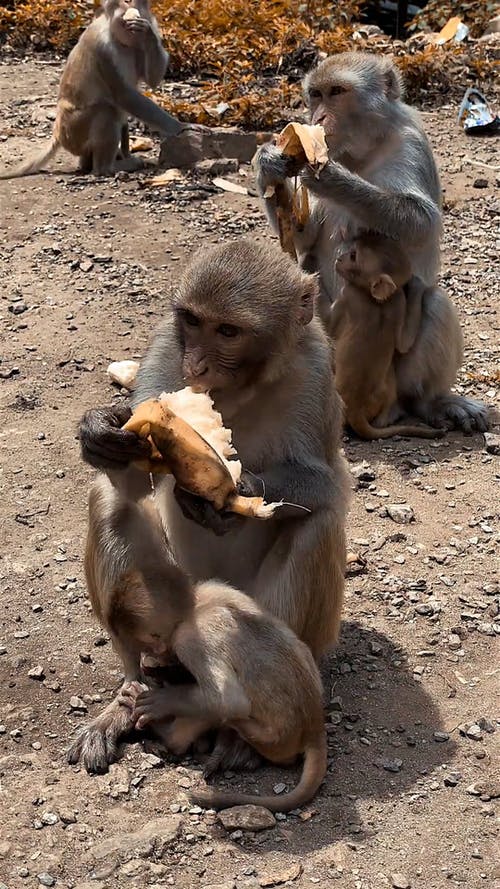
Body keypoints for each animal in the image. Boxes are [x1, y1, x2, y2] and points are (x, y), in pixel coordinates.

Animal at [0, 0, 199, 179]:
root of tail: (58, 133)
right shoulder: (103, 52)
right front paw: (182, 126)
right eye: (124, 21)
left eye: (137, 20)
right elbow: (124, 95)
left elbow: (152, 80)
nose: (133, 32)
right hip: (75, 129)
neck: (116, 38)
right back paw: (110, 167)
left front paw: (148, 33)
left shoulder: (138, 47)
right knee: (107, 111)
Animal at [72, 236, 350, 772]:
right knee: (108, 498)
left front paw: (228, 498)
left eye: (228, 330)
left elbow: (328, 486)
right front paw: (100, 432)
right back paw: (128, 695)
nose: (196, 366)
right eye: (193, 321)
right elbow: (130, 481)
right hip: (166, 583)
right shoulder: (167, 342)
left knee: (316, 526)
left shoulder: (317, 367)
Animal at [79, 478, 328, 812]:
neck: (197, 608)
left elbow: (228, 701)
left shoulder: (190, 641)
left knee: (226, 713)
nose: (151, 660)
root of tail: (314, 727)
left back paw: (168, 733)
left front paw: (161, 700)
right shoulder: (217, 587)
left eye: (151, 644)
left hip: (271, 740)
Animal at [330, 229, 444, 438]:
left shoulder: (347, 294)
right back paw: (386, 418)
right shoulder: (399, 300)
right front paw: (417, 287)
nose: (339, 258)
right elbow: (404, 343)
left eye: (353, 256)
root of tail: (356, 409)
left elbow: (329, 329)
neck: (373, 297)